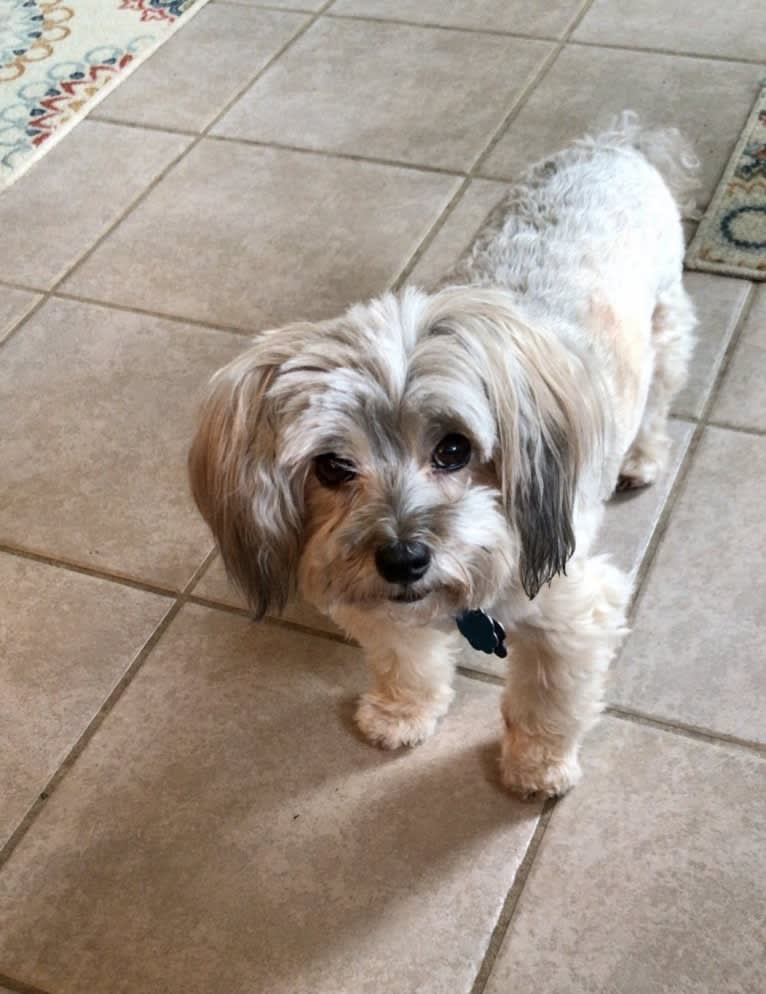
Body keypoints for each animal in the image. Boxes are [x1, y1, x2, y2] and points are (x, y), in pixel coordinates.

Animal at [189, 116, 700, 800]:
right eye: (331, 466)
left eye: (454, 448)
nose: (404, 558)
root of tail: (616, 142)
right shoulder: (378, 598)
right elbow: (406, 659)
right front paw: (402, 713)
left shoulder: (571, 610)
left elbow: (549, 699)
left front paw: (537, 764)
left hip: (665, 325)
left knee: (658, 398)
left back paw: (640, 457)